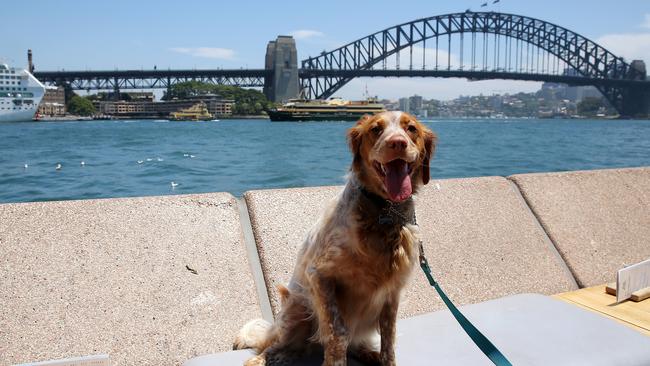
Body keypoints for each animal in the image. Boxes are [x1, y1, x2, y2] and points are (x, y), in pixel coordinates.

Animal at [233, 111, 436, 366]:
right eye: (376, 129)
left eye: (411, 129)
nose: (397, 142)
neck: (384, 211)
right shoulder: (320, 276)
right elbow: (338, 333)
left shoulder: (392, 291)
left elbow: (389, 339)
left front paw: (385, 360)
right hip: (297, 308)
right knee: (279, 346)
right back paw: (265, 359)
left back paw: (368, 353)